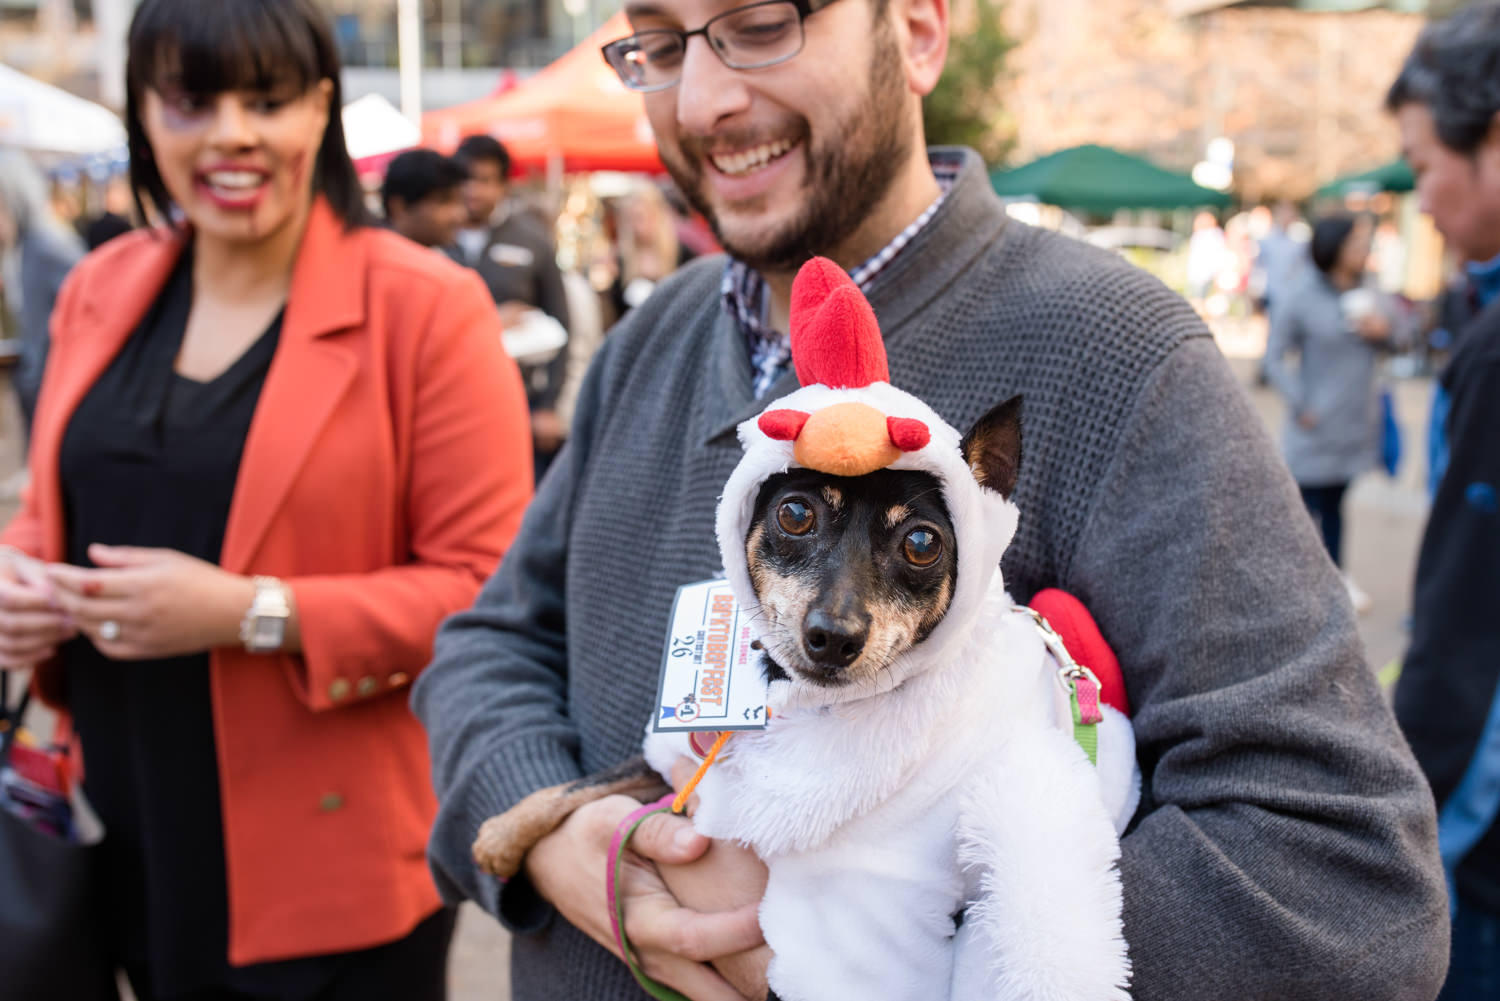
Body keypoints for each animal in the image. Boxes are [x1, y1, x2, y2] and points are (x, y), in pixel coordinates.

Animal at [474, 261, 1128, 1001]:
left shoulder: (850, 932)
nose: (834, 637)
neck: (794, 708)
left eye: (923, 542)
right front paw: (502, 832)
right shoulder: (682, 757)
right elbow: (587, 782)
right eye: (793, 513)